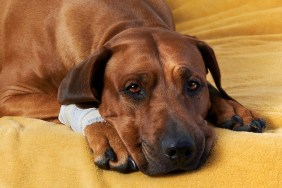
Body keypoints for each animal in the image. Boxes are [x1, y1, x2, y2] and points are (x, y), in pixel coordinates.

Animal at [0, 0, 264, 176]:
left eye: (192, 84)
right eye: (133, 88)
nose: (180, 149)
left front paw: (232, 107)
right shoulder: (7, 94)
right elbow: (70, 101)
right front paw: (108, 133)